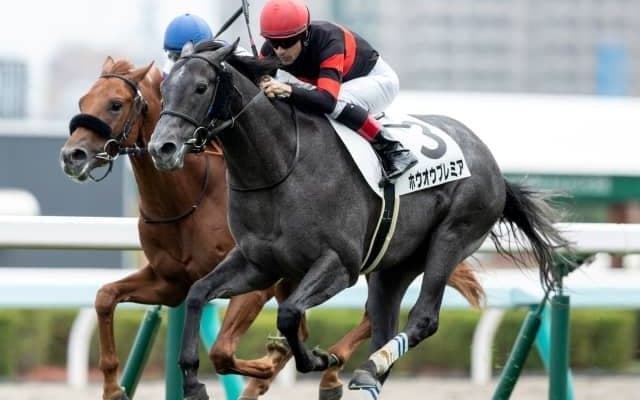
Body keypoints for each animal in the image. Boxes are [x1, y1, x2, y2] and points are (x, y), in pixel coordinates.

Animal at [60, 56, 484, 400]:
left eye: (115, 104)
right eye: (81, 101)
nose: (71, 155)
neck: (191, 196)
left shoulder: (264, 282)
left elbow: (225, 351)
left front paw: (267, 366)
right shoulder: (171, 282)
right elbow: (105, 297)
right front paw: (113, 387)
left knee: (367, 316)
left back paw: (330, 371)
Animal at [148, 39, 573, 400]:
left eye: (201, 87)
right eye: (165, 89)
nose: (161, 148)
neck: (280, 167)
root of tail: (492, 163)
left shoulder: (339, 264)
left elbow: (289, 314)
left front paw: (317, 359)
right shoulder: (259, 264)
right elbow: (197, 292)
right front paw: (192, 381)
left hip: (452, 236)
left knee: (423, 318)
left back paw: (366, 365)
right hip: (393, 266)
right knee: (383, 322)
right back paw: (368, 372)